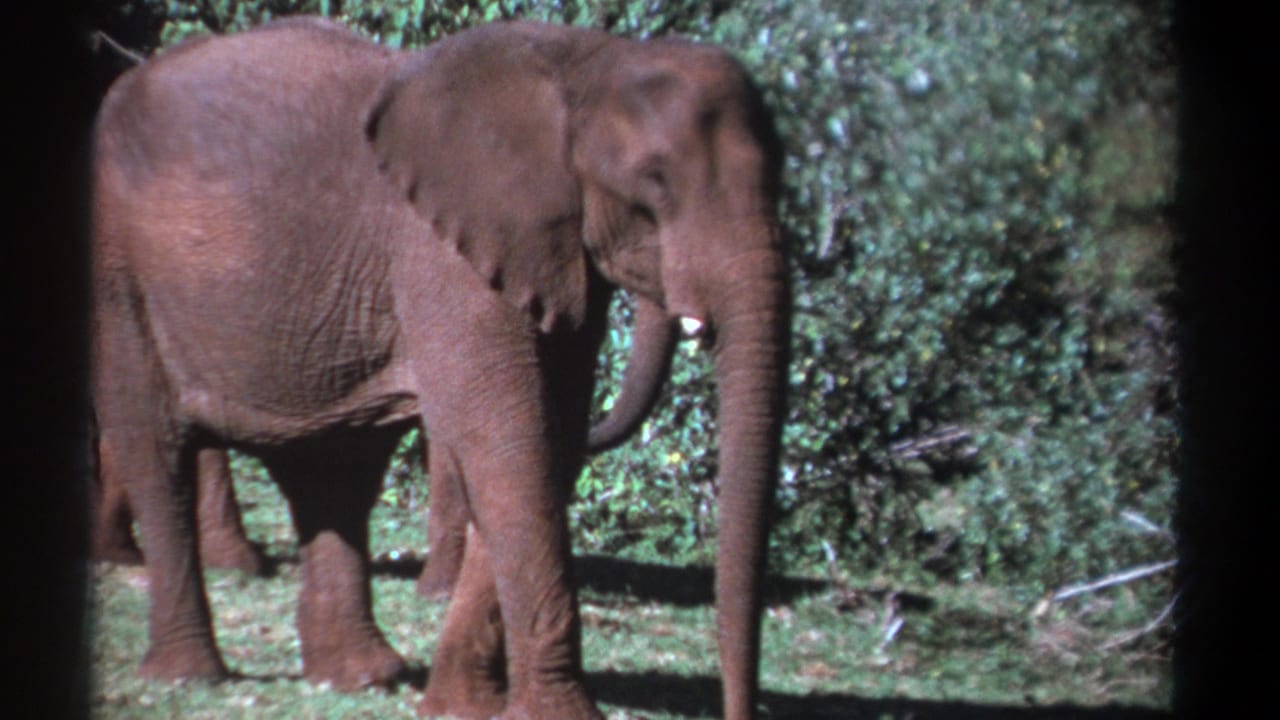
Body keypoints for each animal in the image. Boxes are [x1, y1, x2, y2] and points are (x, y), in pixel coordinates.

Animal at [92, 16, 787, 720]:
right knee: (158, 451)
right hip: (121, 279)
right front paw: (550, 714)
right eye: (655, 184)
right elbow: (508, 442)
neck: (586, 62)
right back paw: (191, 676)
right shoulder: (442, 252)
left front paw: (458, 704)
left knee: (333, 474)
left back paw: (360, 677)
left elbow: (551, 444)